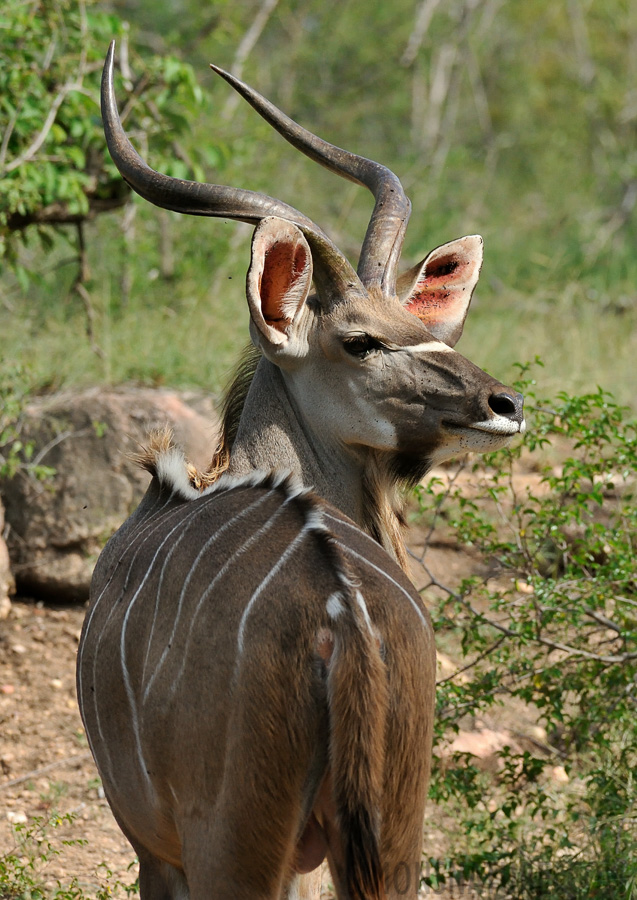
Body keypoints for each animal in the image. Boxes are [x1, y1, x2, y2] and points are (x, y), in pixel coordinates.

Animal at [77, 42, 524, 900]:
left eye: (419, 324)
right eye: (360, 340)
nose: (503, 403)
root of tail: (342, 621)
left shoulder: (157, 850)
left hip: (237, 850)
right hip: (386, 843)